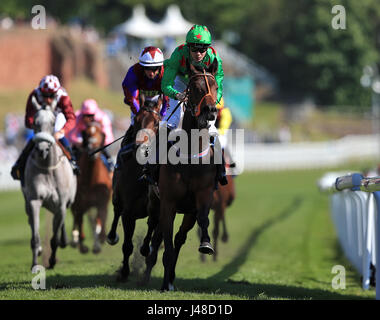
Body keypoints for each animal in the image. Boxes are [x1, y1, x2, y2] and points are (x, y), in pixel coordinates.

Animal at [21, 99, 77, 268]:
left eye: (52, 122)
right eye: (35, 123)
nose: (42, 149)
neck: (47, 169)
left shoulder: (61, 204)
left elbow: (54, 238)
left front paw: (52, 261)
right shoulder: (34, 200)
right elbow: (35, 236)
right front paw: (35, 264)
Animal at [70, 121, 112, 254]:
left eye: (100, 133)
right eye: (87, 133)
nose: (93, 148)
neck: (91, 180)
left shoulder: (102, 201)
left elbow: (99, 219)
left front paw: (98, 243)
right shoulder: (79, 202)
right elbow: (80, 219)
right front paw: (82, 244)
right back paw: (75, 239)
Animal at [105, 94, 162, 282]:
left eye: (156, 122)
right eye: (136, 121)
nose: (141, 146)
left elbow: (154, 236)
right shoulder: (129, 211)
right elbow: (127, 245)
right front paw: (124, 272)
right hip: (118, 197)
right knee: (116, 210)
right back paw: (112, 236)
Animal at [142, 58, 220, 292]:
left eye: (215, 86)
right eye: (195, 88)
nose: (210, 110)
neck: (190, 159)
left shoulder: (200, 199)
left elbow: (202, 219)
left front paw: (206, 244)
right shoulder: (168, 202)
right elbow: (165, 244)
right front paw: (164, 281)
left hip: (186, 212)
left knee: (177, 238)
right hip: (154, 200)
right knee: (153, 227)